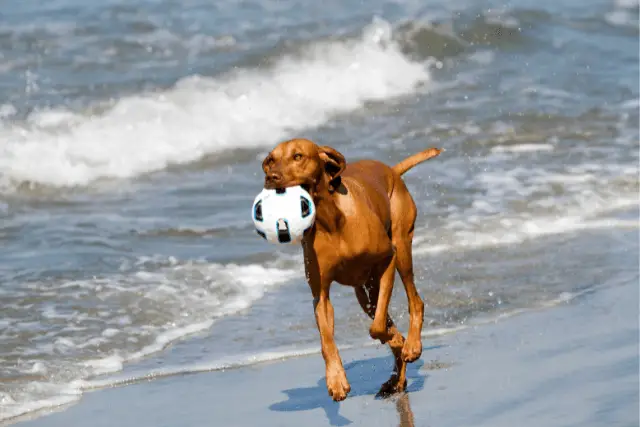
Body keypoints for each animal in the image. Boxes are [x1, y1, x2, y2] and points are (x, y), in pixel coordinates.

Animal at [260, 140, 440, 402]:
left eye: (298, 156)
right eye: (271, 160)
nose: (271, 177)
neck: (330, 220)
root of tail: (392, 170)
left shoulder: (388, 259)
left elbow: (377, 328)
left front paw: (400, 341)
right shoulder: (320, 295)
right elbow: (327, 341)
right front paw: (336, 380)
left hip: (402, 250)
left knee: (415, 300)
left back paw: (412, 345)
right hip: (365, 292)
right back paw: (397, 379)